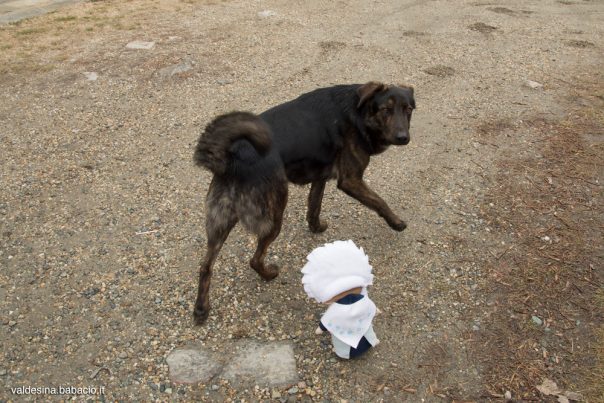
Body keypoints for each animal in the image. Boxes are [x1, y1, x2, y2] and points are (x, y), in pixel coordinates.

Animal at [193, 82, 416, 326]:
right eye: (386, 110)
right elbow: (379, 201)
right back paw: (269, 274)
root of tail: (233, 159)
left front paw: (316, 227)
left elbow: (314, 206)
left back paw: (201, 309)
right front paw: (397, 222)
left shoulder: (321, 176)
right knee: (254, 259)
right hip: (273, 216)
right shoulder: (351, 180)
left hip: (220, 223)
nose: (403, 137)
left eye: (408, 110)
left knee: (205, 266)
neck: (358, 112)